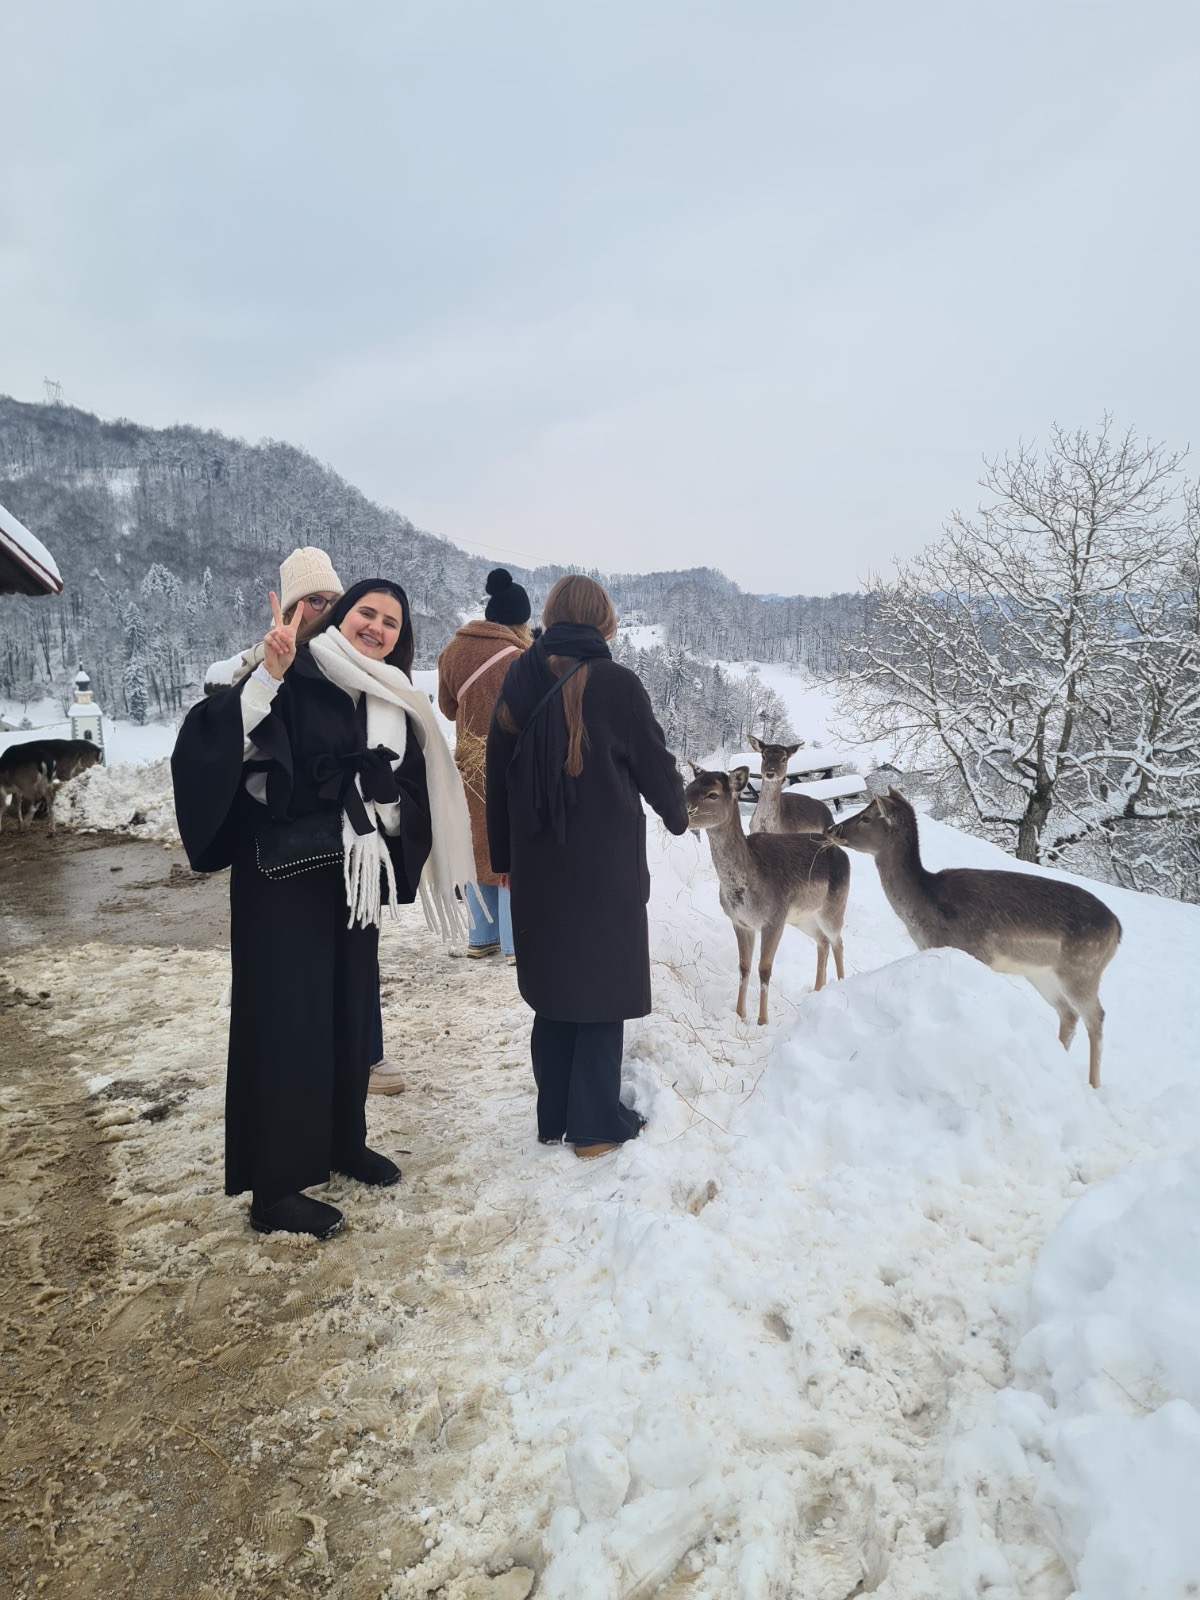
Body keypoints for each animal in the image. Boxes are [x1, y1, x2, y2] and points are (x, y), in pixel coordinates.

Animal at [685, 765, 850, 1024]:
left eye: (712, 794)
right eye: (688, 787)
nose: (684, 811)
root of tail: (843, 853)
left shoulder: (774, 919)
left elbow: (764, 968)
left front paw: (762, 1020)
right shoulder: (741, 922)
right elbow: (744, 966)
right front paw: (740, 1015)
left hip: (834, 907)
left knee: (837, 941)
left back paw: (841, 985)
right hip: (802, 918)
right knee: (822, 941)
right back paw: (816, 990)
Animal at [829, 788, 1122, 1088]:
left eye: (866, 817)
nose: (831, 829)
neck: (925, 909)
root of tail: (1117, 929)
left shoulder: (972, 950)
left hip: (1082, 969)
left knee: (1096, 1016)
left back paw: (1094, 1084)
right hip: (1042, 973)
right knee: (1069, 1014)